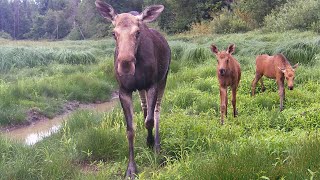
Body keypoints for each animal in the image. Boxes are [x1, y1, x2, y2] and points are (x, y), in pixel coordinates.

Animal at [94, 0, 170, 179]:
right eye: (114, 33)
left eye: (138, 32)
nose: (125, 64)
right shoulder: (124, 90)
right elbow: (130, 129)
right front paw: (131, 168)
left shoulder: (152, 84)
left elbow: (149, 121)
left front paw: (152, 144)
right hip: (141, 89)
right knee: (144, 108)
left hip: (163, 78)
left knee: (156, 110)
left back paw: (156, 144)